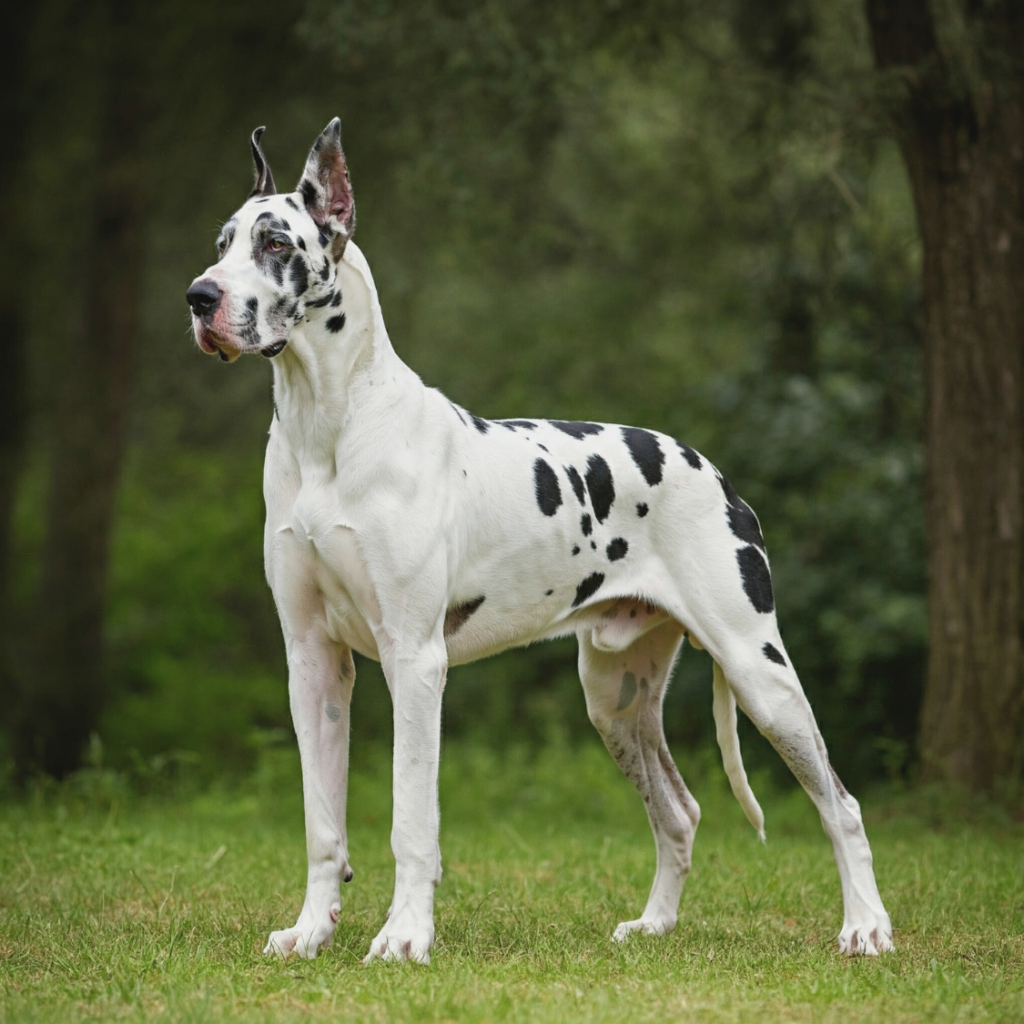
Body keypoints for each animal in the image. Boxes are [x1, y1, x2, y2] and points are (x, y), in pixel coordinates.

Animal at [188, 121, 892, 966]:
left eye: (274, 242)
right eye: (221, 243)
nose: (199, 297)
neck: (328, 424)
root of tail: (719, 476)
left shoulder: (414, 662)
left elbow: (411, 821)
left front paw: (405, 936)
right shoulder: (312, 664)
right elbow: (322, 822)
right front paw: (310, 929)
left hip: (761, 674)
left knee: (841, 805)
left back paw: (866, 926)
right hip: (616, 698)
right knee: (679, 811)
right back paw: (654, 925)